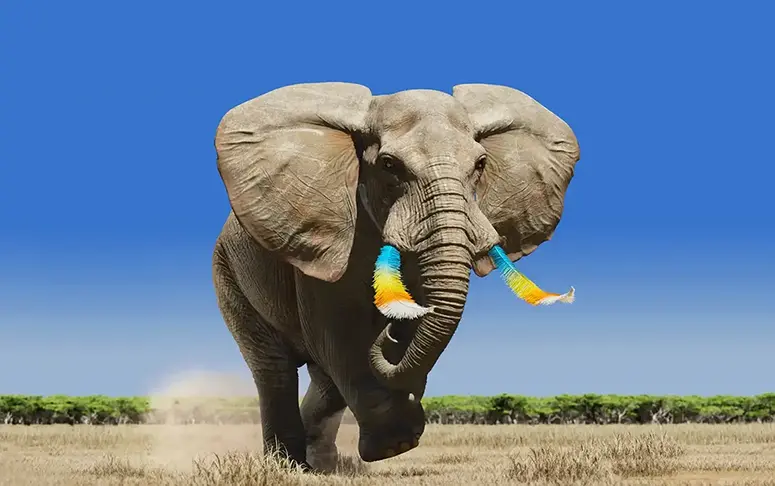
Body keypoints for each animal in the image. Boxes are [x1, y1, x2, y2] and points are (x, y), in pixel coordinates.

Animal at [211, 82, 580, 469]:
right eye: (389, 165)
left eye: (481, 164)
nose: (386, 334)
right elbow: (337, 331)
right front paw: (394, 445)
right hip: (228, 273)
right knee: (274, 369)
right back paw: (289, 465)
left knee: (323, 379)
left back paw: (323, 465)